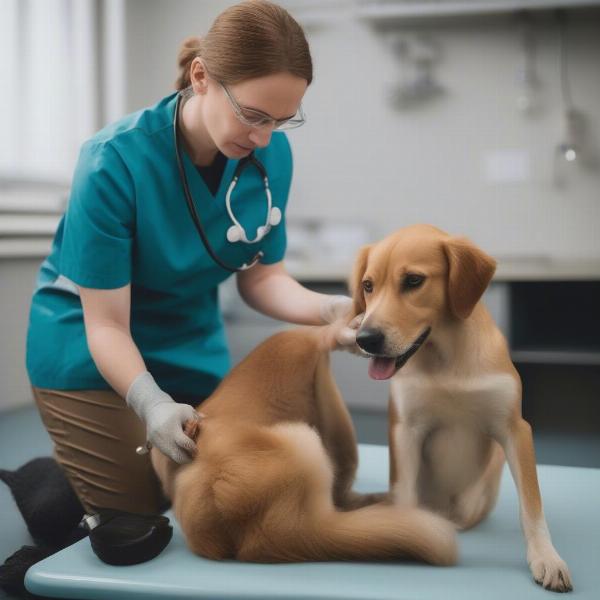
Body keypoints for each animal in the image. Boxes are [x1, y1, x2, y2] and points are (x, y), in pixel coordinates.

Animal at [352, 224, 572, 592]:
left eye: (413, 281)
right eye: (368, 286)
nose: (365, 339)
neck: (446, 356)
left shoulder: (515, 430)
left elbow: (532, 505)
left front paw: (547, 557)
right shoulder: (406, 429)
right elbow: (405, 494)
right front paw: (406, 534)